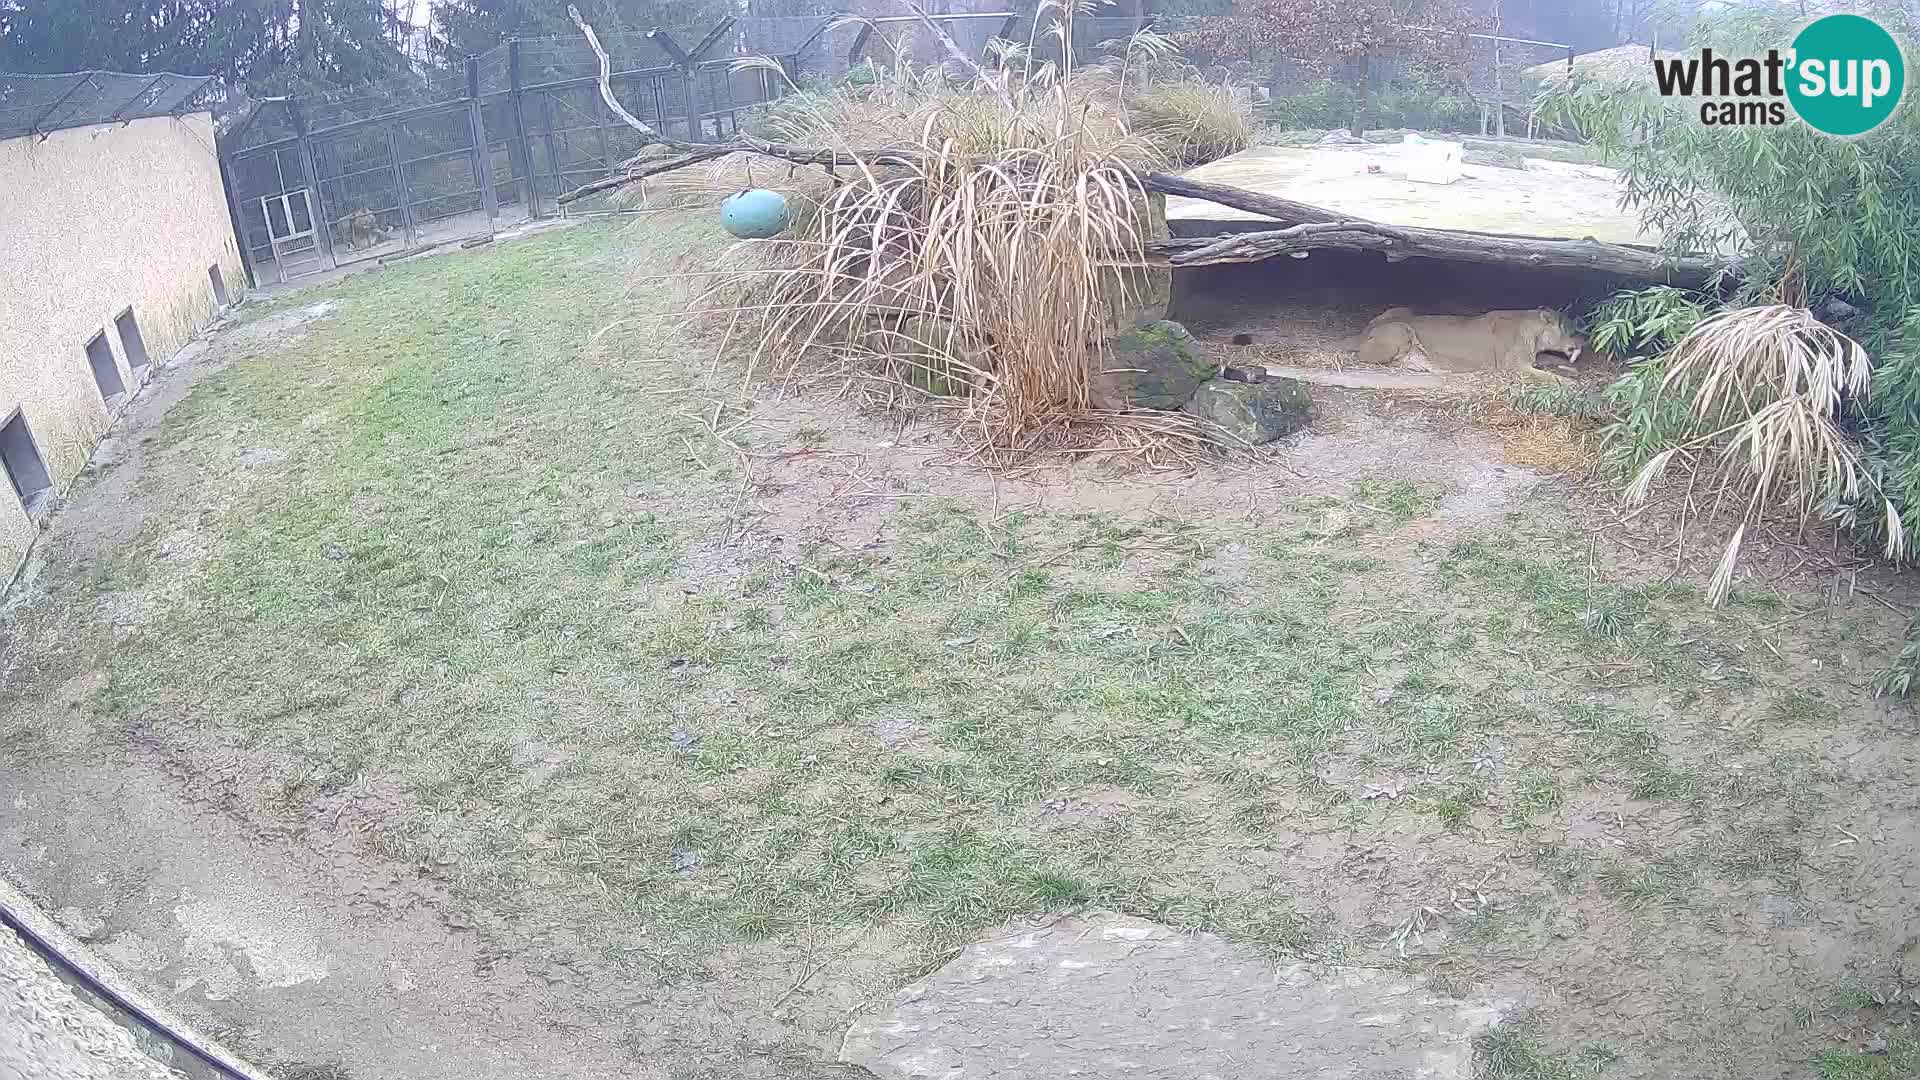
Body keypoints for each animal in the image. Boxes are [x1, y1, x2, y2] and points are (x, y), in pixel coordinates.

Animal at [1355, 307, 1584, 383]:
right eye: (1569, 329)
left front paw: (1572, 369)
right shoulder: (1514, 366)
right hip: (1402, 329)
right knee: (1369, 358)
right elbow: (1550, 376)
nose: (1581, 342)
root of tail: (1366, 329)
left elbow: (1550, 360)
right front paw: (1571, 383)